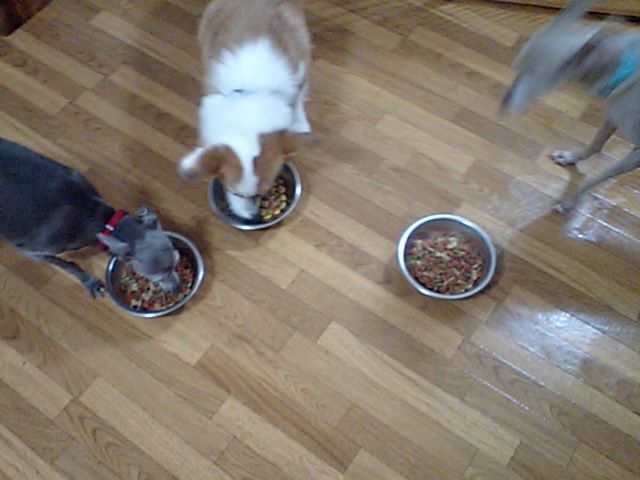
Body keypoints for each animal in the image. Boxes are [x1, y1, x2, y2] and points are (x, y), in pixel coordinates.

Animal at [0, 138, 180, 297]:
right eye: (160, 277)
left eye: (176, 262)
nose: (178, 288)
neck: (103, 220)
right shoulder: (32, 251)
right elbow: (67, 264)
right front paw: (89, 282)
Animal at [178, 0, 311, 219]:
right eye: (233, 192)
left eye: (265, 192)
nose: (250, 216)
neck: (250, 92)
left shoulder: (300, 70)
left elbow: (299, 99)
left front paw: (300, 124)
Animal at [502, 0, 640, 212]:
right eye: (519, 67)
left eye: (536, 72)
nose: (504, 103)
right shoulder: (614, 115)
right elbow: (595, 144)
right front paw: (570, 157)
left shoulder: (637, 153)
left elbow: (593, 180)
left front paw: (569, 201)